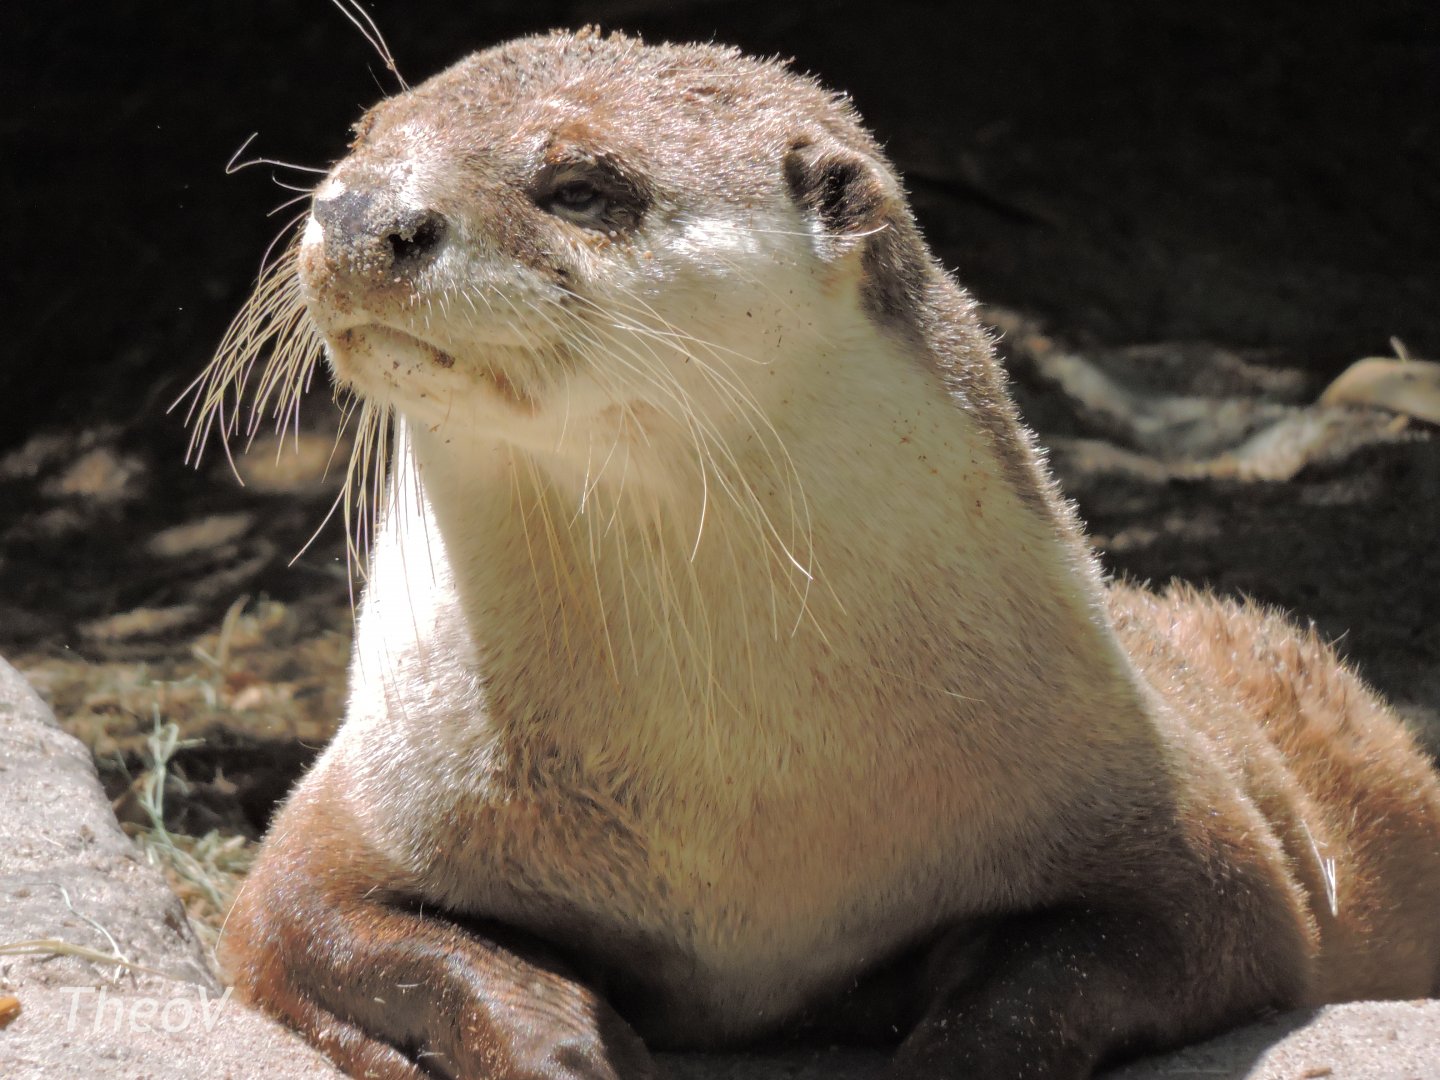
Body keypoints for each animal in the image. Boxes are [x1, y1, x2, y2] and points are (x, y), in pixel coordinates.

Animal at [195, 29, 1440, 1080]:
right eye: (363, 137)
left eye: (583, 184)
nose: (361, 212)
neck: (718, 789)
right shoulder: (357, 811)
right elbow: (319, 927)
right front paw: (564, 1044)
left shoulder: (1191, 839)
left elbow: (1096, 962)